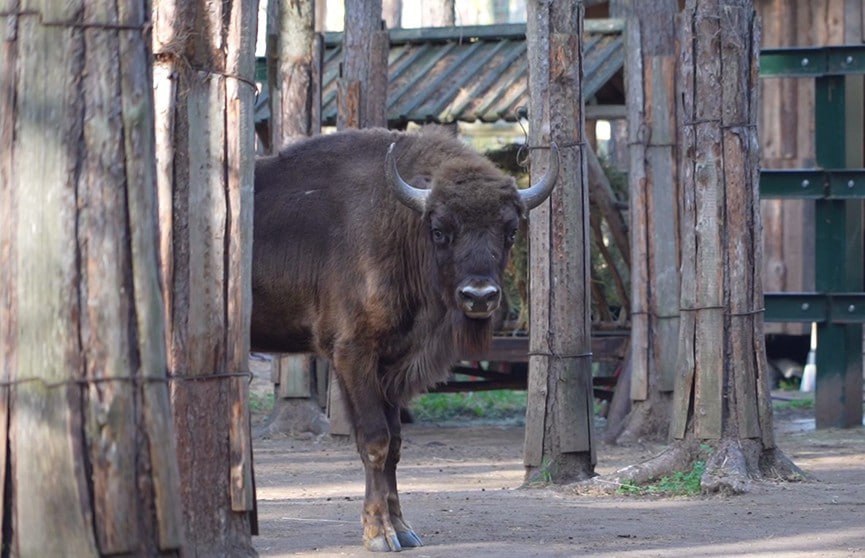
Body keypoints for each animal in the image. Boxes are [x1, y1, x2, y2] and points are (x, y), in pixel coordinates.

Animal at [253, 129, 556, 552]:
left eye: (510, 232)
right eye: (440, 230)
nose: (479, 296)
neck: (400, 222)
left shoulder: (391, 366)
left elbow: (395, 445)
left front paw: (403, 529)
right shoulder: (353, 356)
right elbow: (375, 441)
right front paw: (379, 535)